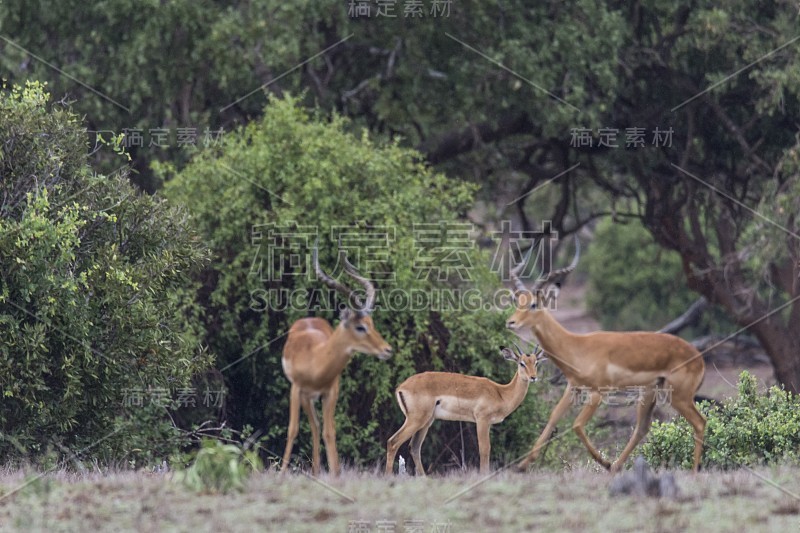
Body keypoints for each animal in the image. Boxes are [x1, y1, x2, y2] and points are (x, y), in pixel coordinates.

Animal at [282, 241, 394, 474]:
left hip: (314, 397)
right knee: (313, 426)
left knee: (317, 427)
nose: (387, 350)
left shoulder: (331, 392)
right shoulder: (296, 389)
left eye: (372, 324)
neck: (316, 361)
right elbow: (293, 429)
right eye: (360, 326)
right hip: (305, 396)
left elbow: (330, 432)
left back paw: (317, 471)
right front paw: (280, 473)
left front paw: (336, 473)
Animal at [510, 236, 704, 470]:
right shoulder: (573, 387)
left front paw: (602, 461)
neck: (576, 345)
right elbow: (553, 417)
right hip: (650, 393)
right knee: (642, 428)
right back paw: (616, 467)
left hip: (679, 397)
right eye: (517, 301)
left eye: (533, 304)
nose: (510, 322)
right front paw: (523, 464)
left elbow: (576, 425)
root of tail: (699, 358)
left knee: (700, 423)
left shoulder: (597, 393)